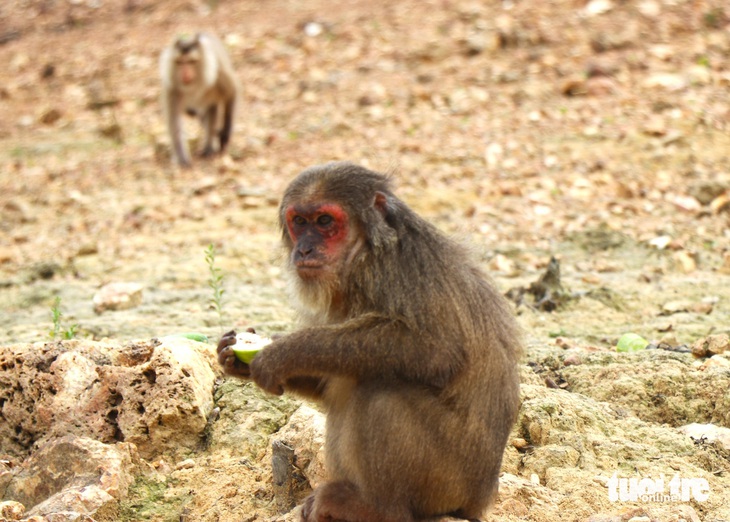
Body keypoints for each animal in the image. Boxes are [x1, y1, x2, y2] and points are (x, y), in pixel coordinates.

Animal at [159, 32, 239, 167]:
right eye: (180, 62)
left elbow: (232, 93)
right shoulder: (172, 87)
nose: (185, 73)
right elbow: (174, 120)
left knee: (212, 108)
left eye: (191, 61)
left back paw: (209, 146)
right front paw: (182, 159)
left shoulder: (218, 75)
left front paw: (225, 135)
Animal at [218, 162, 524, 520]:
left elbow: (436, 349)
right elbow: (326, 385)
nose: (304, 249)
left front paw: (281, 353)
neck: (360, 255)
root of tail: (482, 497)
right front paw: (233, 359)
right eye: (300, 222)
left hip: (450, 481)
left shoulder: (398, 268)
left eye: (325, 221)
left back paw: (375, 508)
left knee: (380, 393)